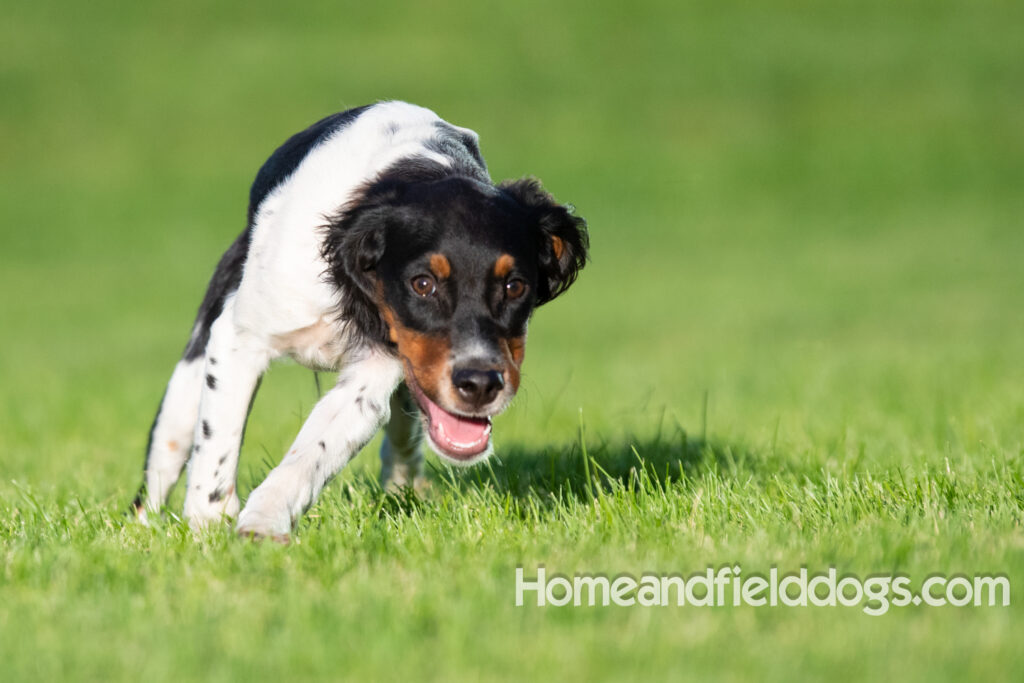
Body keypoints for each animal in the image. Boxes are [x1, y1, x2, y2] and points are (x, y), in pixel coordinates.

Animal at [132, 101, 589, 540]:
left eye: (515, 286)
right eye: (423, 284)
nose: (479, 384)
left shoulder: (372, 374)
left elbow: (310, 451)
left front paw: (262, 524)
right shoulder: (239, 338)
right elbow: (218, 444)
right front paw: (209, 527)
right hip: (189, 378)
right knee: (165, 458)